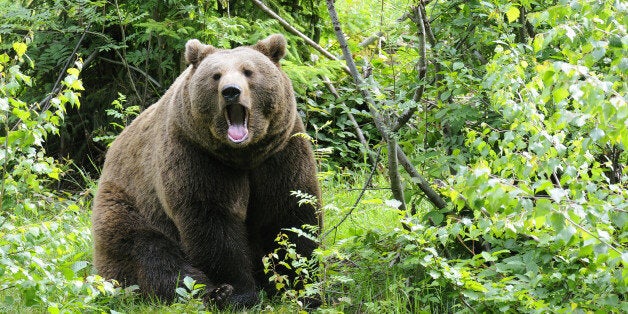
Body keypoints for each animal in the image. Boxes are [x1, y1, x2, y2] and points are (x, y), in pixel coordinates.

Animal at [91, 33, 322, 306]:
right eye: (216, 75)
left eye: (248, 71)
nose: (231, 91)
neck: (243, 155)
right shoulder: (197, 154)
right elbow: (212, 221)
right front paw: (237, 292)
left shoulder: (279, 152)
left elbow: (291, 213)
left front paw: (301, 285)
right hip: (129, 205)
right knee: (149, 253)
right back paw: (213, 291)